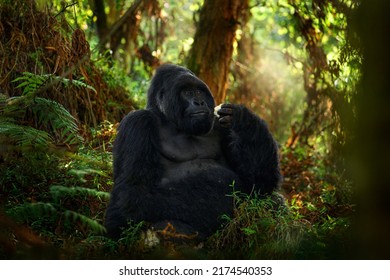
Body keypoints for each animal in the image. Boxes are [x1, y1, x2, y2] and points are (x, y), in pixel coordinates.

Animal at [105, 64, 282, 240]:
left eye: (199, 91)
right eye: (188, 92)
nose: (199, 102)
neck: (171, 122)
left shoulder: (219, 124)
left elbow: (258, 182)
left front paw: (244, 120)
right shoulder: (138, 123)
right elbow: (132, 194)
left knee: (271, 199)